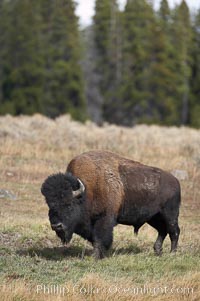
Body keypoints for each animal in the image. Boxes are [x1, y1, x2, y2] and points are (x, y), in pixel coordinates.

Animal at [41, 150, 181, 258]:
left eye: (69, 204)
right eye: (50, 205)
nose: (56, 226)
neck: (87, 191)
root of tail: (175, 181)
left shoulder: (104, 219)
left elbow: (99, 238)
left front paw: (96, 256)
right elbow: (94, 238)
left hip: (170, 215)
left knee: (174, 231)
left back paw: (173, 253)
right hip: (153, 218)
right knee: (162, 230)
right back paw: (158, 251)